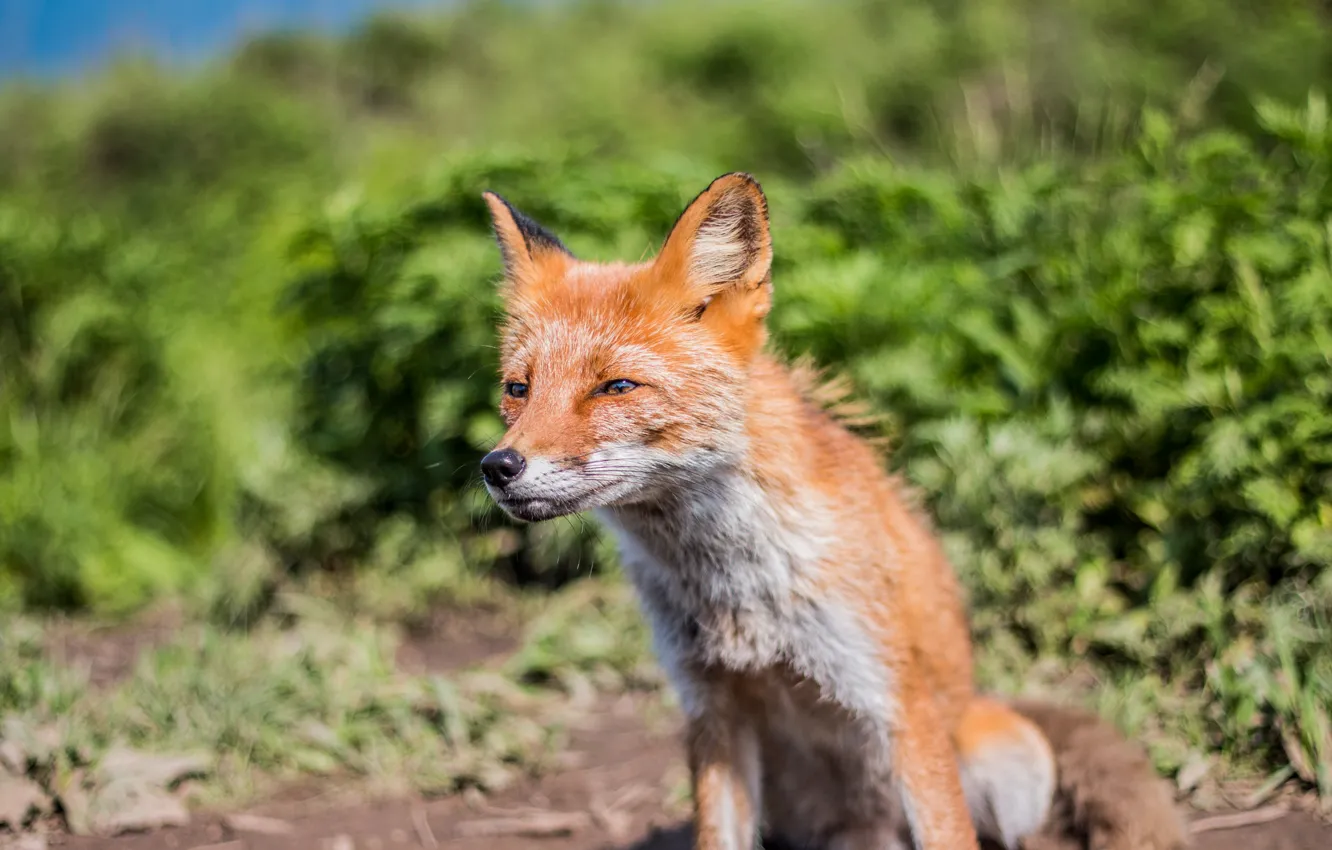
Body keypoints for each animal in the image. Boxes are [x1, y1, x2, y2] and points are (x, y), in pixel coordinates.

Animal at [478, 173, 1188, 850]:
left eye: (616, 387)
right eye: (518, 388)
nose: (497, 467)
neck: (735, 585)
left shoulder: (895, 701)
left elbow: (949, 836)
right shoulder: (711, 707)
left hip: (1008, 767)